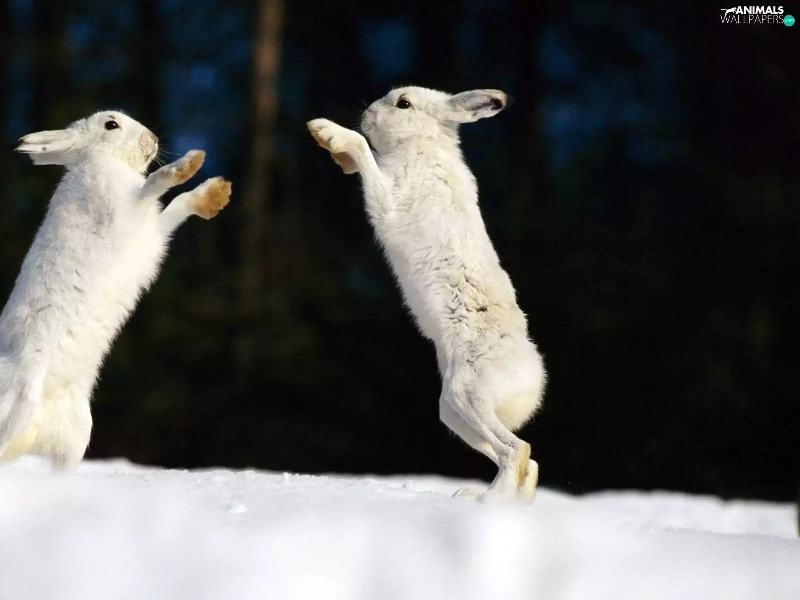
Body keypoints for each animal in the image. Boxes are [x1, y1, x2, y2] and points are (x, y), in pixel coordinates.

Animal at [0, 110, 231, 469]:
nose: (152, 138)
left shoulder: (151, 231)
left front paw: (216, 194)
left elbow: (176, 206)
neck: (101, 159)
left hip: (77, 433)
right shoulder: (124, 214)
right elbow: (154, 185)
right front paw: (188, 164)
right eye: (111, 125)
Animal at [308, 86, 546, 504]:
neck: (423, 145)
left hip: (468, 394)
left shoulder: (389, 199)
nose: (367, 115)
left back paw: (486, 501)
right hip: (454, 413)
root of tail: (534, 378)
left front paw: (329, 132)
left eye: (403, 103)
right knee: (524, 459)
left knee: (517, 452)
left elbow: (365, 154)